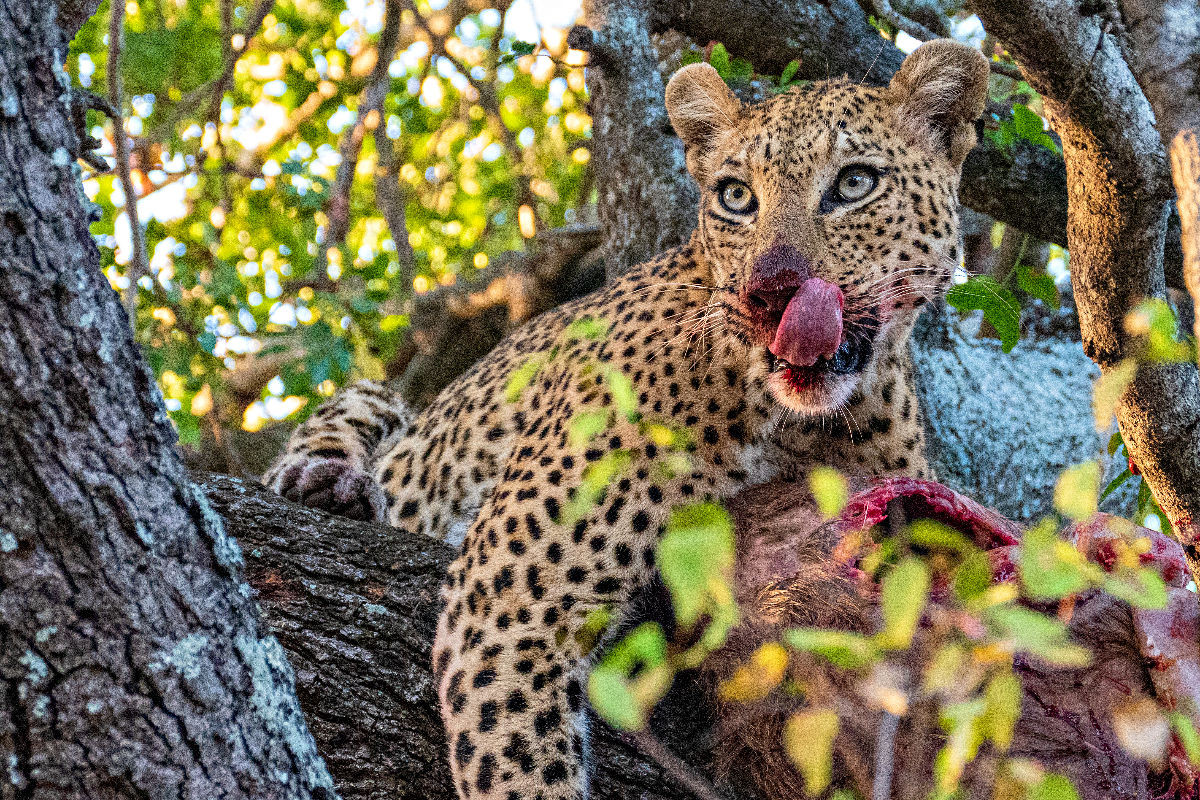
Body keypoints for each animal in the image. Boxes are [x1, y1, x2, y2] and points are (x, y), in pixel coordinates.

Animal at [267, 40, 988, 800]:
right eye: (736, 197)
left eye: (854, 184)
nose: (770, 291)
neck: (802, 425)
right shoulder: (510, 596)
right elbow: (521, 771)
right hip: (382, 404)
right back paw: (328, 482)